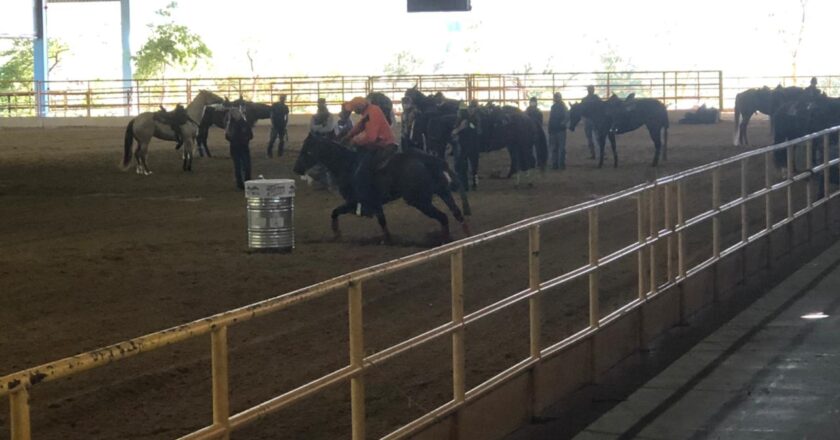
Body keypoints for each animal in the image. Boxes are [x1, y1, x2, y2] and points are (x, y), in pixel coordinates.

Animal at [292, 134, 470, 244]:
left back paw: (444, 239)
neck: (347, 165)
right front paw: (387, 238)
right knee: (456, 213)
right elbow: (382, 220)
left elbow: (334, 211)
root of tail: (428, 160)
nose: (296, 169)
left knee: (443, 217)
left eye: (306, 151)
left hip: (419, 201)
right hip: (443, 192)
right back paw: (463, 233)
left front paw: (336, 233)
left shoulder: (353, 202)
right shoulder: (376, 203)